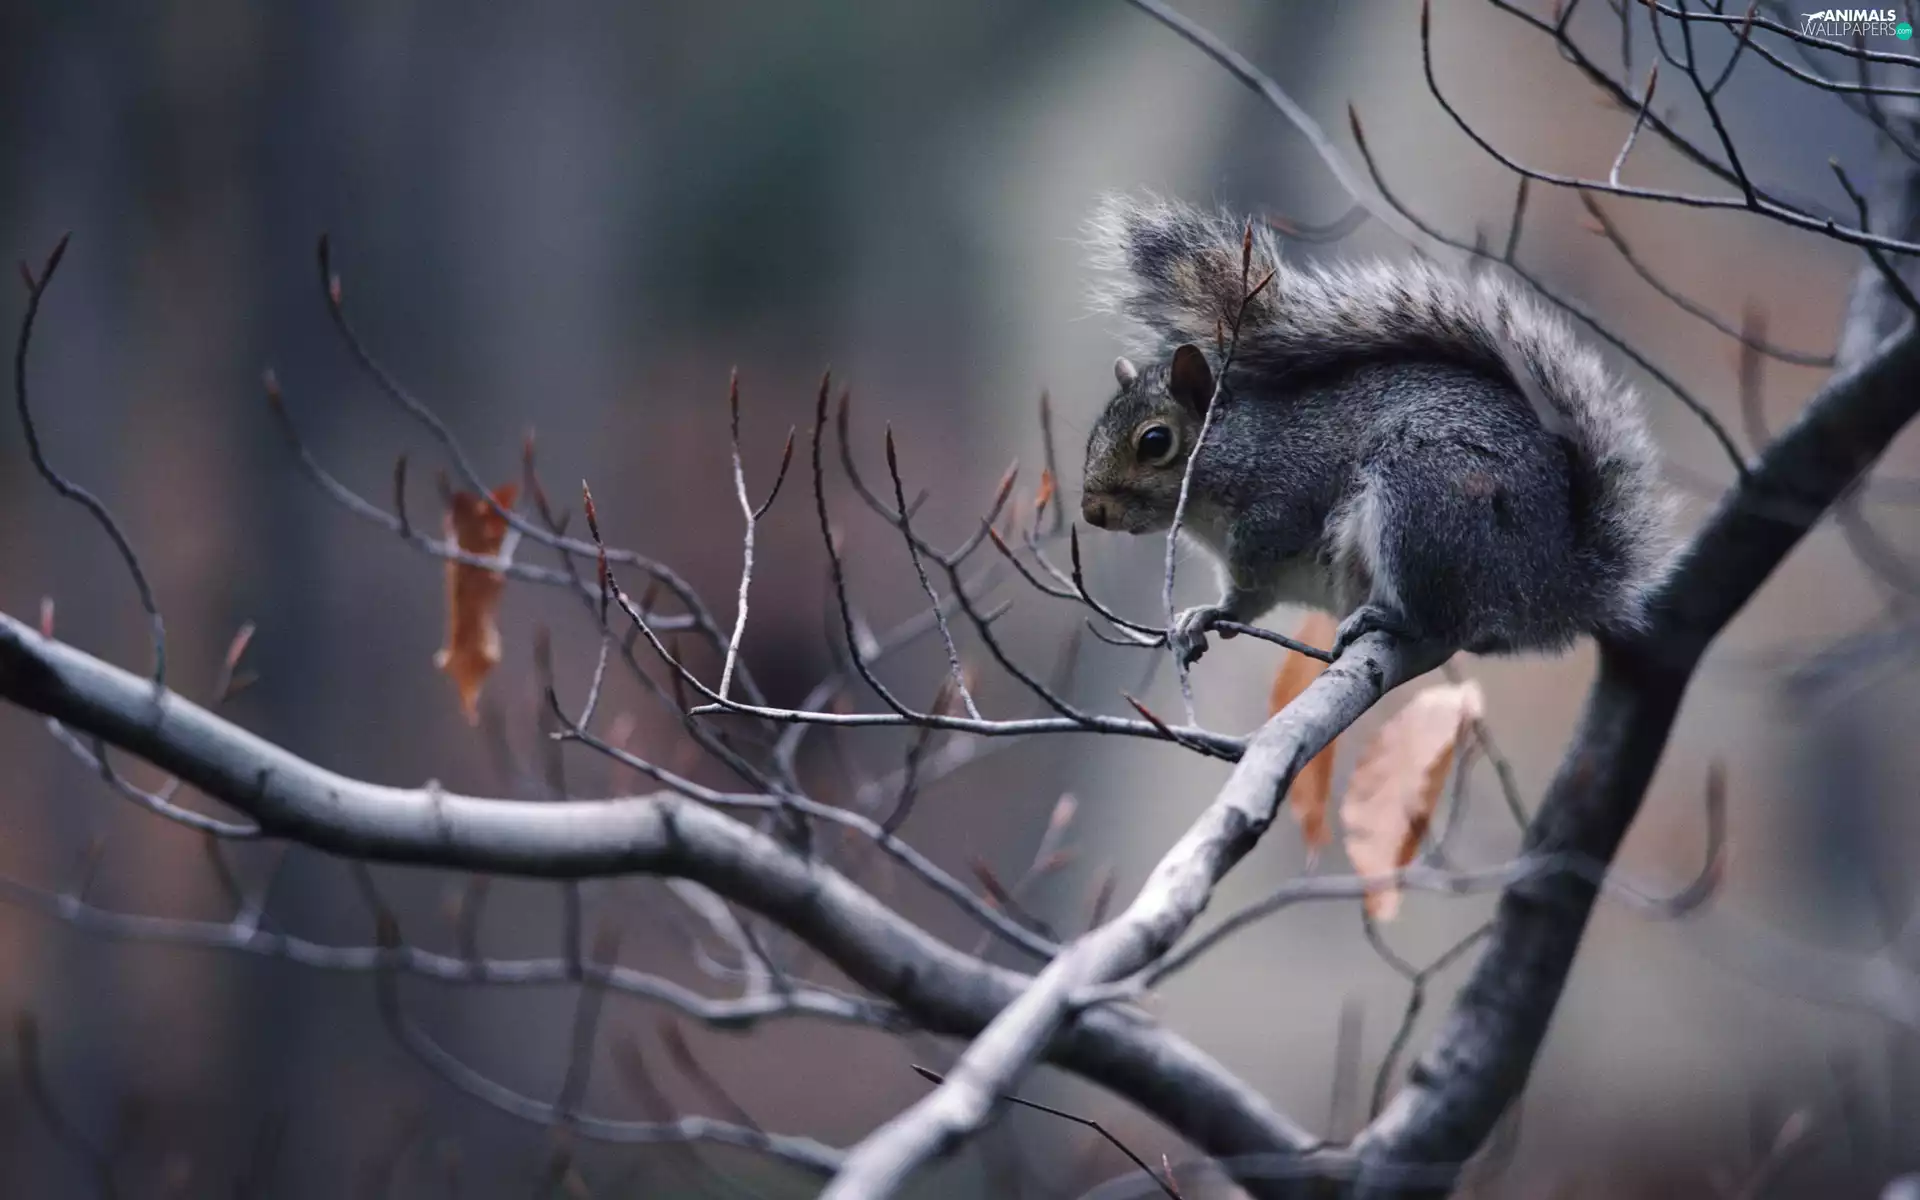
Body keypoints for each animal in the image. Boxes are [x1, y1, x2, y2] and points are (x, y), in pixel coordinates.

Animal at [1078, 194, 1677, 666]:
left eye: (1155, 442)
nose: (1092, 512)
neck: (1237, 450)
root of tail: (1553, 582)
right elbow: (1243, 603)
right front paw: (1199, 619)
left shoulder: (1279, 507)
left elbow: (1257, 577)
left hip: (1424, 502)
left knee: (1447, 619)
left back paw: (1389, 620)